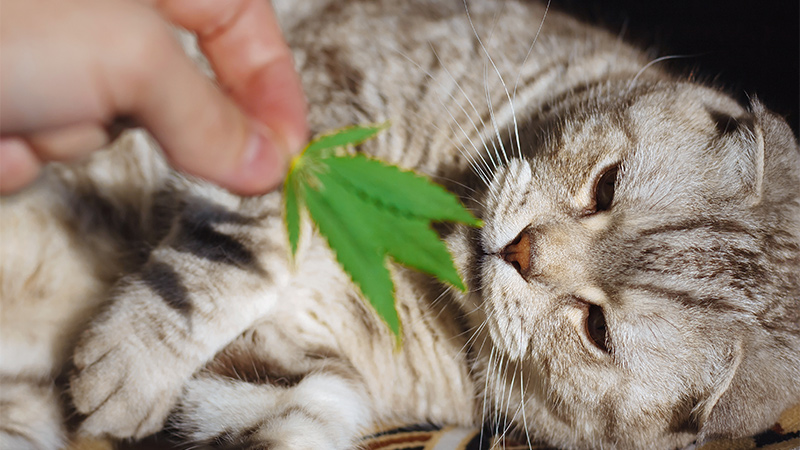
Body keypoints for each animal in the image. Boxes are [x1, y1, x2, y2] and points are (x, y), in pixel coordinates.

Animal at [1, 0, 800, 450]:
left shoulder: (280, 378)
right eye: (604, 187)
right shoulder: (312, 105)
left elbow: (289, 427)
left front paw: (120, 373)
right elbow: (248, 246)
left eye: (596, 328)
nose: (522, 250)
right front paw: (131, 360)